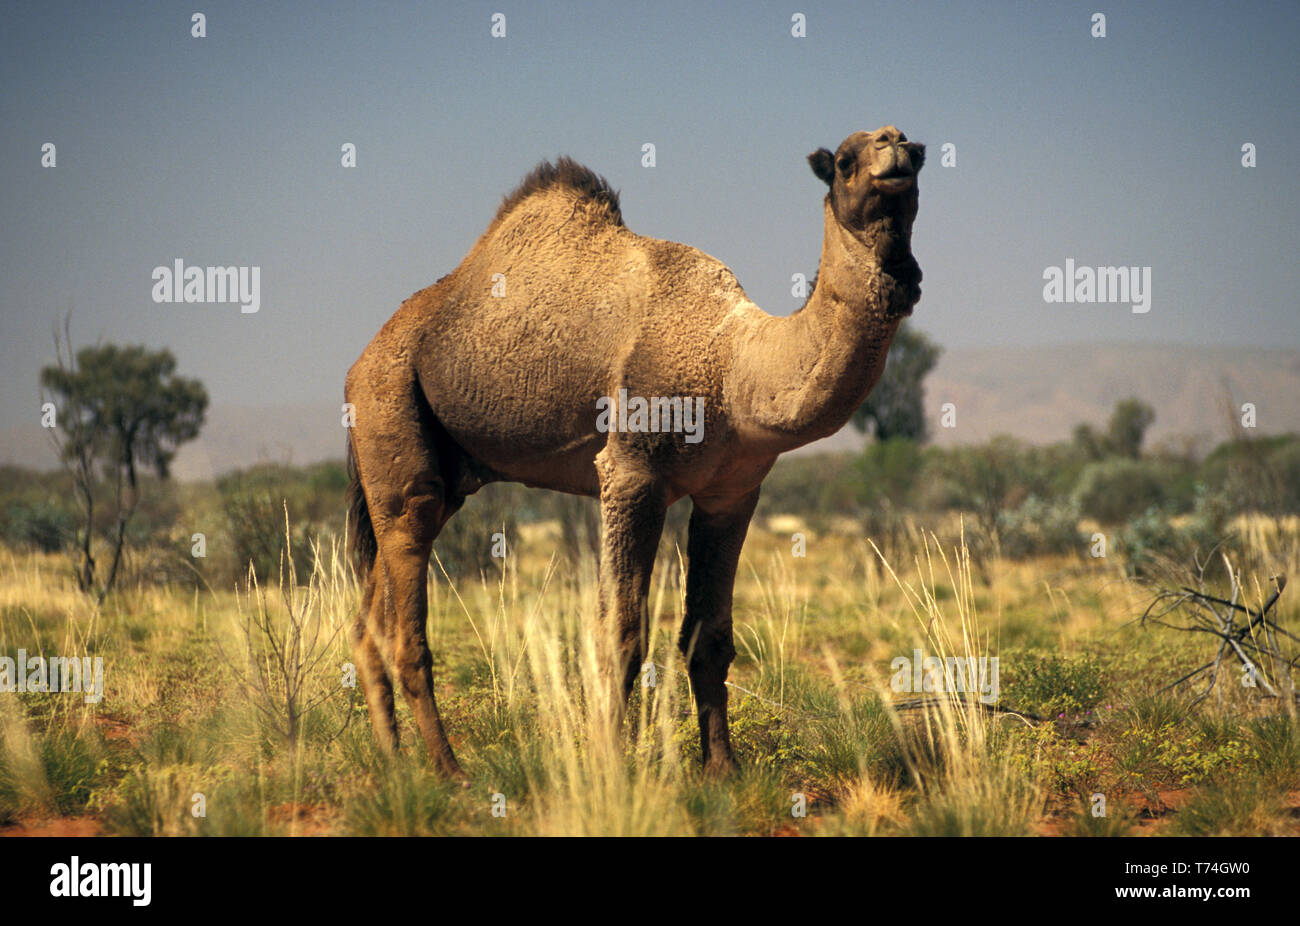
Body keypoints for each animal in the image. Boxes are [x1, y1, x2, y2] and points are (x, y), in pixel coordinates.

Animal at [345, 126, 924, 777]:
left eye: (916, 152)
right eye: (846, 161)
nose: (894, 145)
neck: (733, 365)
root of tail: (360, 363)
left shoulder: (732, 492)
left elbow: (709, 634)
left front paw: (723, 770)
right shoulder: (631, 473)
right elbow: (618, 630)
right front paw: (611, 766)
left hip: (442, 474)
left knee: (371, 622)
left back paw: (394, 764)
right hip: (389, 410)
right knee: (408, 612)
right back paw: (449, 771)